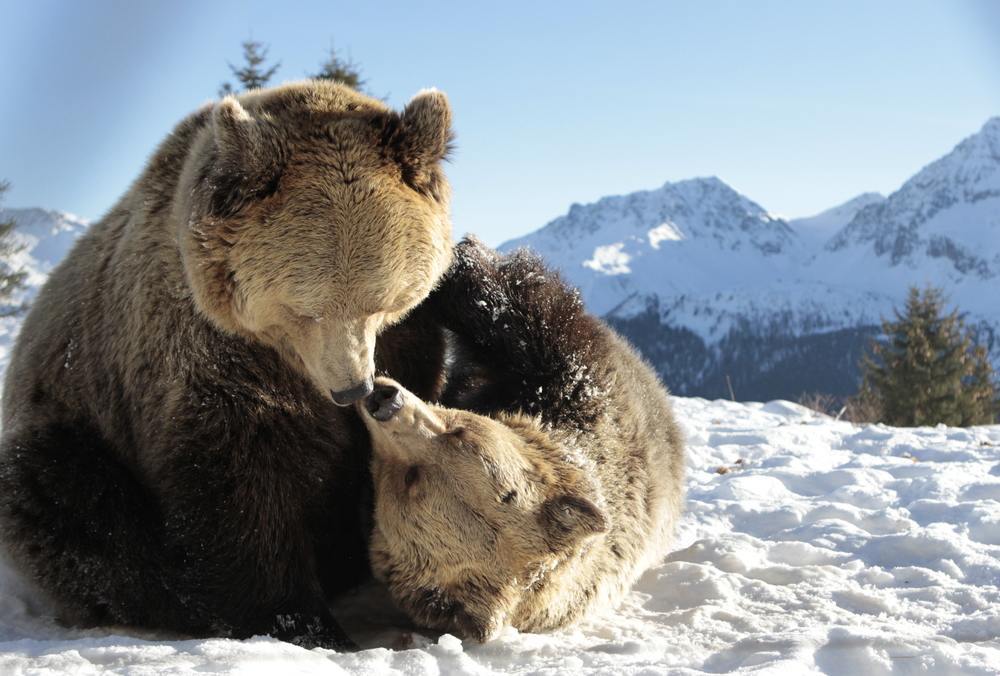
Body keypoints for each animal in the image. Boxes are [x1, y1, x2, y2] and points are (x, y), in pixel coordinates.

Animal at [0, 79, 454, 648]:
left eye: (383, 301)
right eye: (304, 309)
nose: (351, 390)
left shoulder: (407, 339)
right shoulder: (208, 358)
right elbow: (239, 483)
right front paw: (296, 620)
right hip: (72, 416)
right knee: (70, 501)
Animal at [356, 240, 684, 640]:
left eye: (411, 478)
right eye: (459, 432)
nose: (385, 400)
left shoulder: (582, 392)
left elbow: (516, 307)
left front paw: (463, 260)